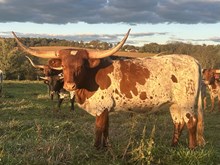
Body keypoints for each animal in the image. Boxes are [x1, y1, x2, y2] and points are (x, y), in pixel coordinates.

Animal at [12, 29, 205, 150]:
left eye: (80, 65)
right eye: (64, 66)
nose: (69, 86)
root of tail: (194, 61)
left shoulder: (101, 107)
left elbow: (98, 129)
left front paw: (96, 149)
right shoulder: (106, 109)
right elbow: (105, 128)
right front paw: (105, 147)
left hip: (187, 102)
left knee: (191, 122)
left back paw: (192, 148)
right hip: (175, 104)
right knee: (178, 122)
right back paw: (173, 146)